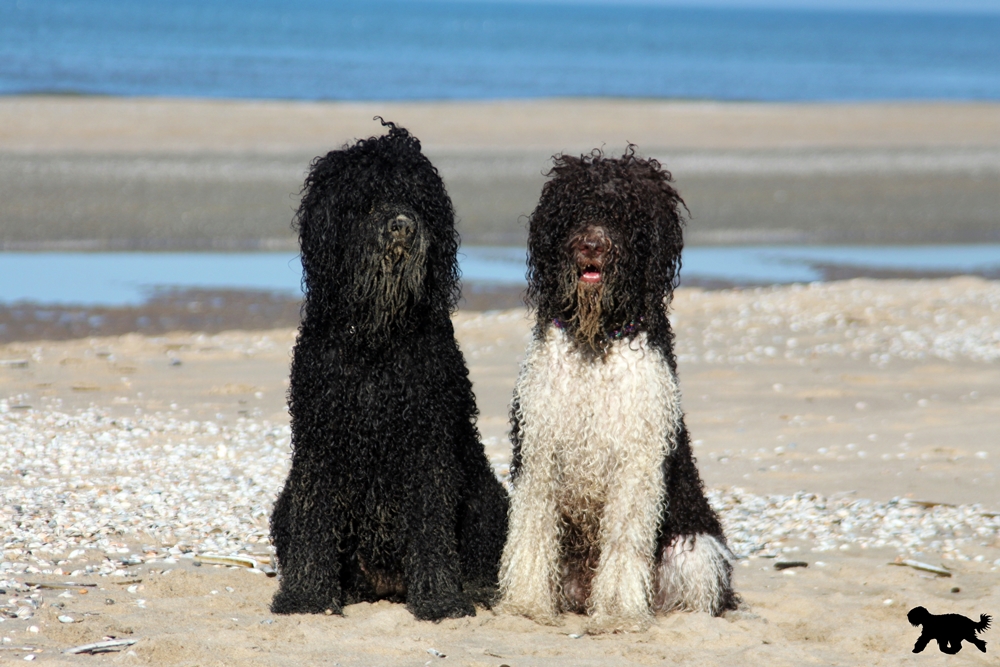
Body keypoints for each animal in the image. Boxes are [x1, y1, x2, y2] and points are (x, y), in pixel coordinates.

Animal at [269, 120, 509, 621]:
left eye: (418, 197)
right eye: (368, 197)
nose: (402, 224)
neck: (377, 336)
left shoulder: (426, 442)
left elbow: (431, 524)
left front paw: (439, 599)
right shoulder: (321, 440)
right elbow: (313, 519)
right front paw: (306, 596)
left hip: (489, 501)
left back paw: (476, 590)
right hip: (283, 504)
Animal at [497, 147, 739, 632]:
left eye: (626, 213)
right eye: (574, 208)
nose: (591, 245)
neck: (596, 338)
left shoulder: (637, 460)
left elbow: (624, 540)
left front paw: (617, 613)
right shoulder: (540, 448)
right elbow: (532, 531)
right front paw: (527, 605)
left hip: (696, 548)